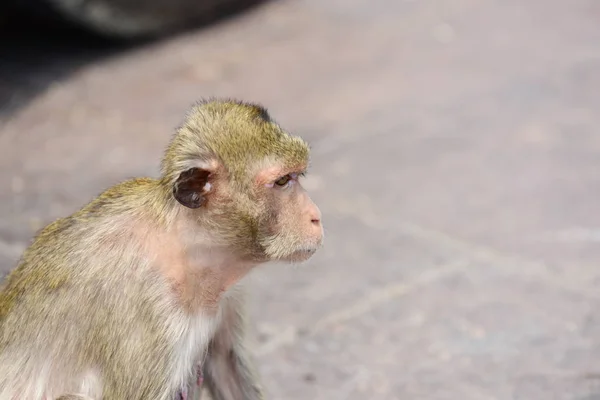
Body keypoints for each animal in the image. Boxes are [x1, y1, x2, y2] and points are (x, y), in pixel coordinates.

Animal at [0, 98, 324, 398]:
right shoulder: (146, 310)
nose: (316, 216)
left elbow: (225, 365)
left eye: (297, 176)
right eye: (282, 181)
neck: (183, 247)